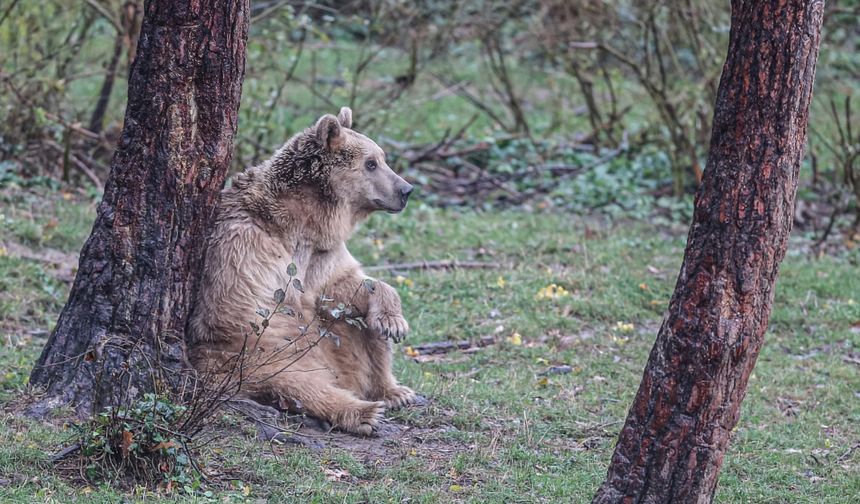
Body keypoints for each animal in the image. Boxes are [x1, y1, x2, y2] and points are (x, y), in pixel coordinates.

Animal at [188, 108, 420, 436]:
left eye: (382, 157)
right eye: (371, 163)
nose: (406, 189)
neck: (305, 220)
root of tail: (340, 375)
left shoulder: (323, 254)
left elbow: (345, 285)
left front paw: (393, 323)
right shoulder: (246, 247)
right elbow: (237, 303)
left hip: (338, 345)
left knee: (364, 332)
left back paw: (394, 391)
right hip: (253, 362)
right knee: (299, 385)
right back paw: (362, 412)